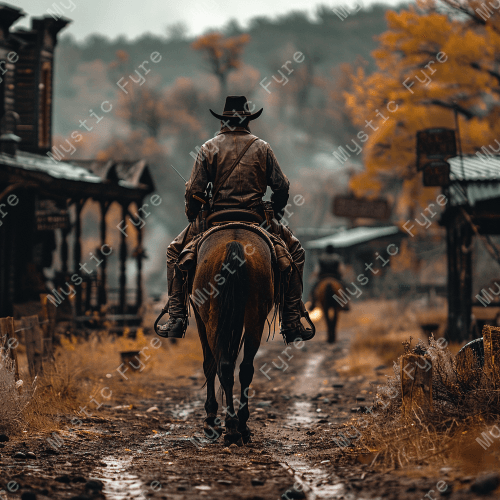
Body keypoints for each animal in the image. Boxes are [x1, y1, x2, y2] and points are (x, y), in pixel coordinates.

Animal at [189, 228, 274, 446]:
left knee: (222, 365)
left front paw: (210, 420)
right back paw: (239, 427)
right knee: (244, 369)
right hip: (254, 318)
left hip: (213, 317)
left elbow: (208, 365)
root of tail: (234, 242)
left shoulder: (199, 317)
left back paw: (232, 428)